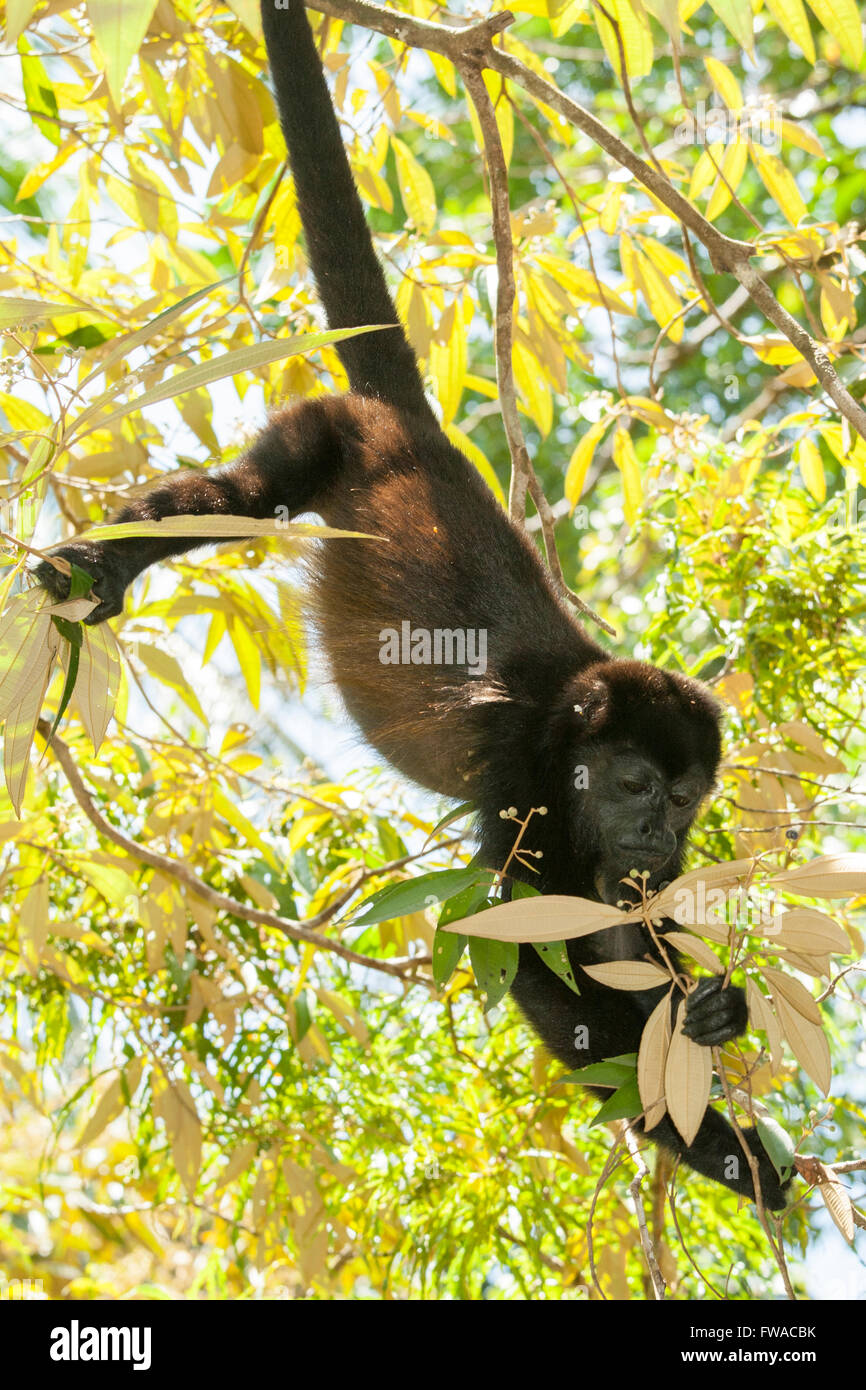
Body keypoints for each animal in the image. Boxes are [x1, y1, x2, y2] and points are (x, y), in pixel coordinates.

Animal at [35, 0, 795, 1212]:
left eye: (683, 802)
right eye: (634, 783)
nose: (652, 838)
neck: (571, 729)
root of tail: (418, 431)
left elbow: (621, 933)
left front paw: (714, 1011)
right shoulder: (524, 781)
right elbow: (535, 957)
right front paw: (728, 1150)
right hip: (324, 433)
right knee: (244, 496)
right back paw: (103, 565)